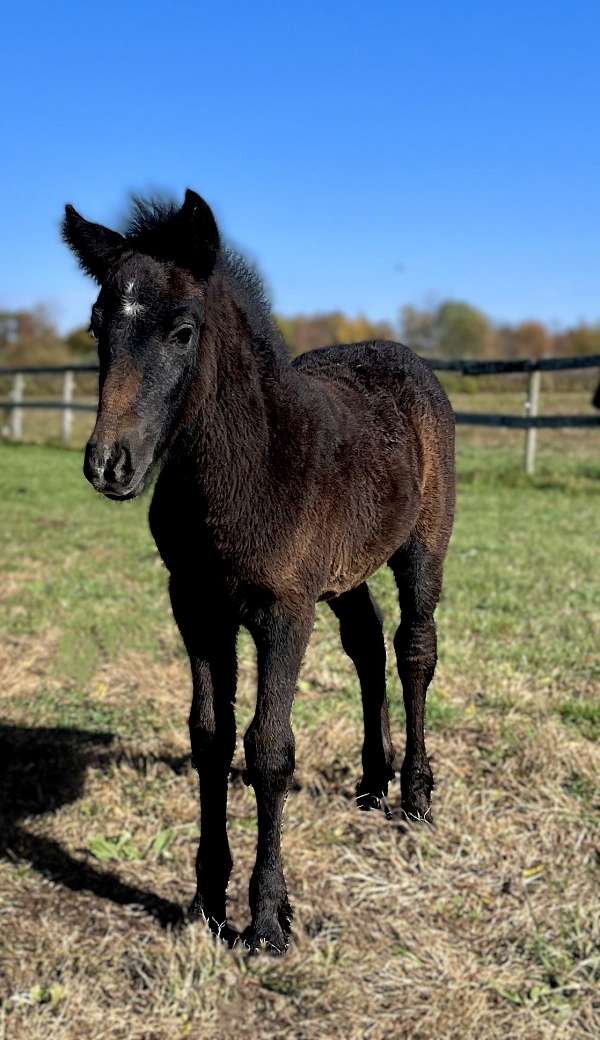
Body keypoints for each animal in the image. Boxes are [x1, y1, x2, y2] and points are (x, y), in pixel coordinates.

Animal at [62, 189, 455, 953]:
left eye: (184, 331)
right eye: (97, 324)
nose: (109, 464)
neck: (244, 467)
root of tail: (402, 354)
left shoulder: (283, 611)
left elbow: (269, 748)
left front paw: (269, 917)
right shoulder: (195, 605)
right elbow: (210, 738)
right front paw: (207, 899)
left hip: (423, 544)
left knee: (413, 650)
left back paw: (416, 794)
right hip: (343, 571)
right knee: (366, 646)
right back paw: (372, 782)